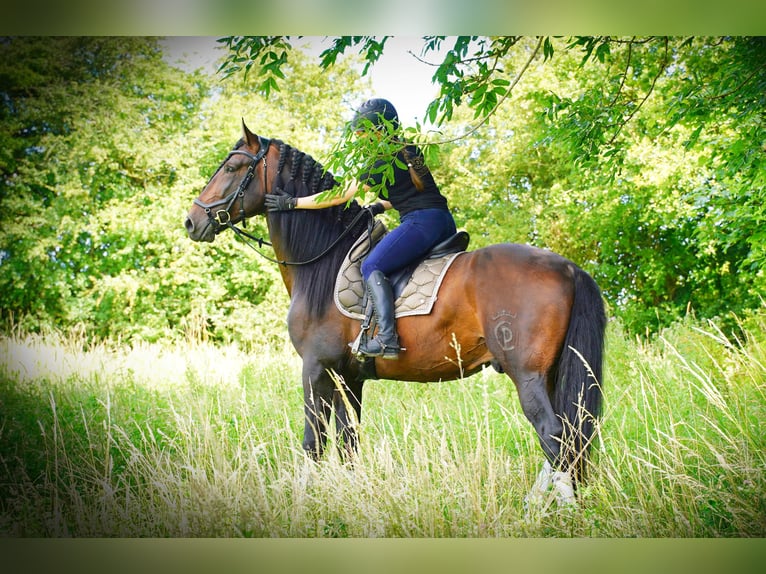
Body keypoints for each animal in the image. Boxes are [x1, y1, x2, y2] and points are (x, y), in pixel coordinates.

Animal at [184, 121, 608, 504]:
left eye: (233, 167)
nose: (192, 220)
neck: (324, 260)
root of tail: (567, 267)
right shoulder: (349, 377)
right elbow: (348, 442)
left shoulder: (316, 368)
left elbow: (313, 441)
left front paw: (304, 498)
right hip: (551, 373)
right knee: (569, 435)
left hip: (529, 374)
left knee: (554, 435)